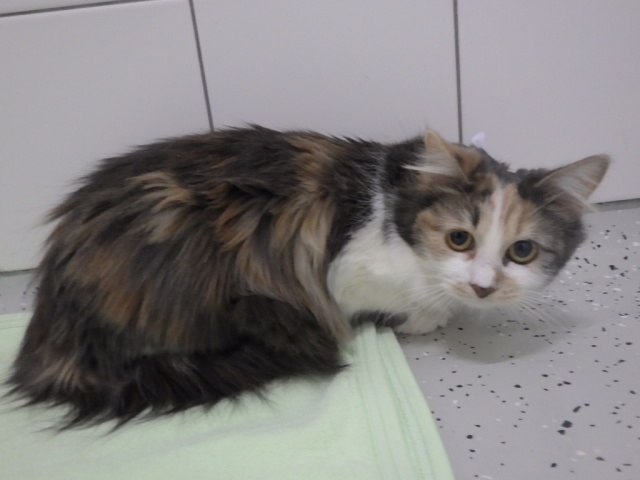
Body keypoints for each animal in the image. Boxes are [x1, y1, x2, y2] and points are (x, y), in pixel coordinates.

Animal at [6, 125, 609, 428]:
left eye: (522, 251)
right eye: (459, 239)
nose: (484, 286)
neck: (391, 207)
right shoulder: (342, 273)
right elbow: (409, 300)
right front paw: (426, 316)